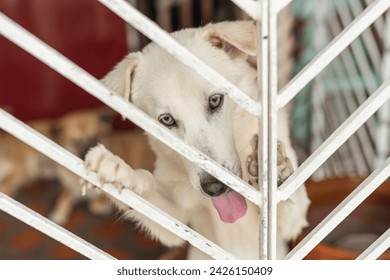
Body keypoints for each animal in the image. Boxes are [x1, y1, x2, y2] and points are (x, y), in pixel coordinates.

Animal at [84, 20, 310, 260]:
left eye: (215, 100)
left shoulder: (287, 225)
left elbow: (286, 200)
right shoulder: (175, 221)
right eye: (167, 120)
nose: (215, 187)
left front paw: (275, 170)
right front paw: (118, 170)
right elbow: (145, 188)